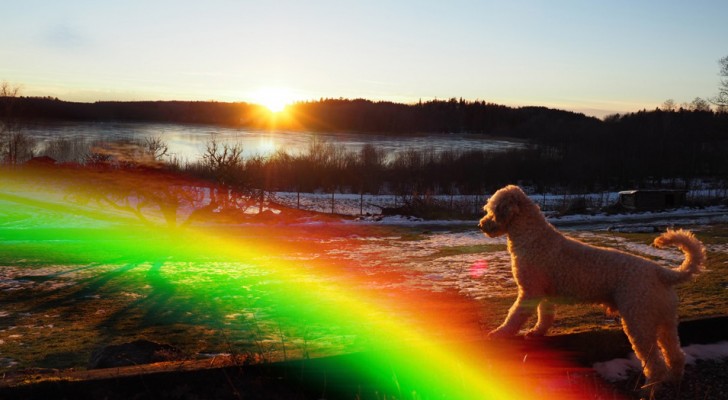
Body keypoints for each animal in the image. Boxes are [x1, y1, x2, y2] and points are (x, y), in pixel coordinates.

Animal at [478, 185, 704, 388]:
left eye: (492, 209)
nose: (481, 225)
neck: (531, 236)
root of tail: (661, 272)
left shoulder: (529, 292)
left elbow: (514, 315)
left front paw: (500, 333)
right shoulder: (544, 294)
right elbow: (544, 316)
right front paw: (536, 332)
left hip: (639, 321)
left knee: (655, 361)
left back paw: (650, 385)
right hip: (665, 322)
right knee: (675, 354)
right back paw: (673, 380)